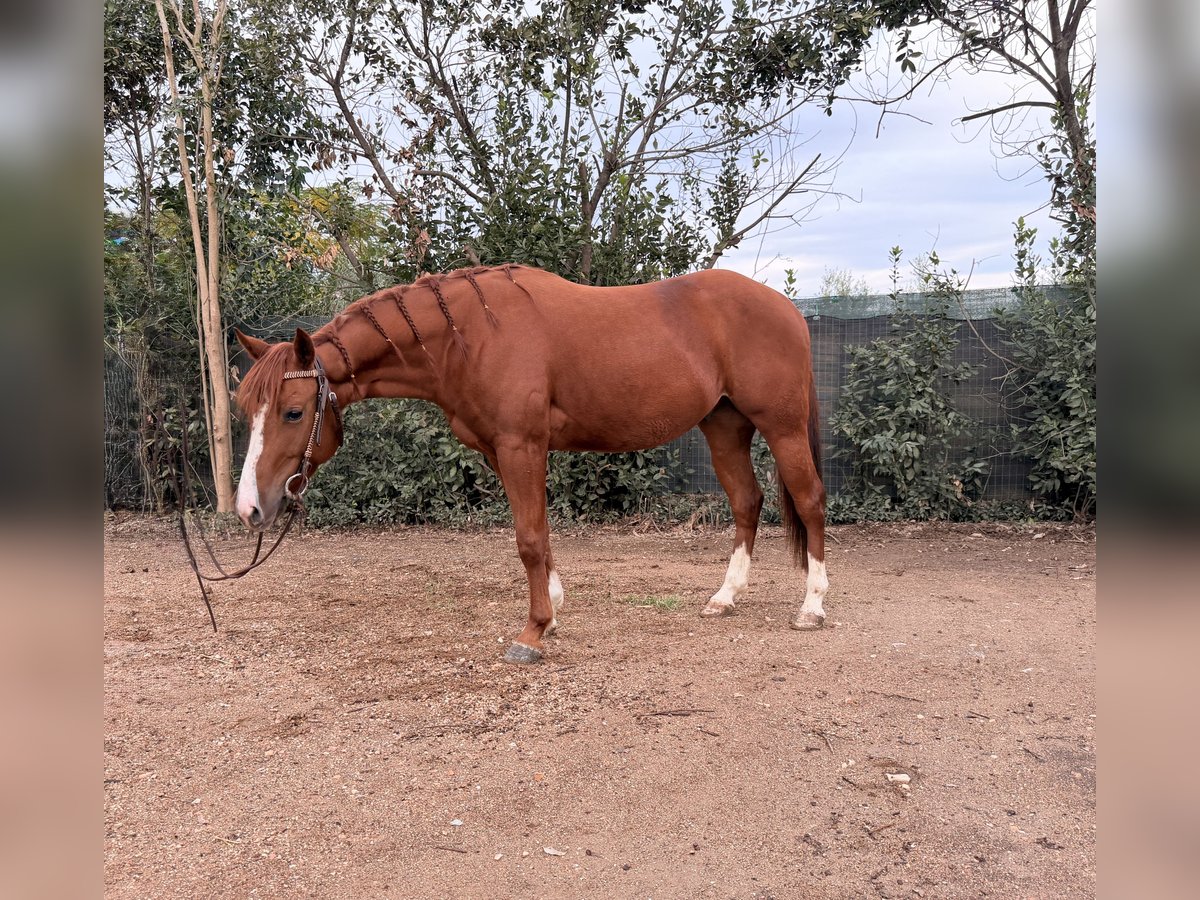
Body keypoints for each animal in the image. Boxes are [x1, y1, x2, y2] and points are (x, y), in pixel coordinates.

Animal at [233, 264, 828, 664]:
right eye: (243, 408)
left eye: (292, 411)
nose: (248, 509)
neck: (470, 336)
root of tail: (790, 309)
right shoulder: (500, 450)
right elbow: (537, 531)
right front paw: (555, 611)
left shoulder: (523, 445)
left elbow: (528, 538)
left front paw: (533, 632)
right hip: (724, 426)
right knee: (747, 502)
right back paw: (725, 598)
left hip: (781, 427)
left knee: (809, 501)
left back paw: (813, 606)